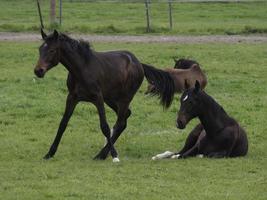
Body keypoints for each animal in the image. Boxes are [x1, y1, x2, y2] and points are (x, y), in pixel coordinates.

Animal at [34, 28, 176, 162]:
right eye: (40, 49)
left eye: (52, 50)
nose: (38, 71)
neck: (82, 69)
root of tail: (139, 64)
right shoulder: (72, 97)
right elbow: (63, 124)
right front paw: (49, 153)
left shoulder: (98, 98)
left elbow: (105, 126)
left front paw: (114, 156)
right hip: (111, 99)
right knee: (125, 117)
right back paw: (103, 153)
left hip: (124, 98)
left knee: (120, 122)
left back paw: (102, 154)